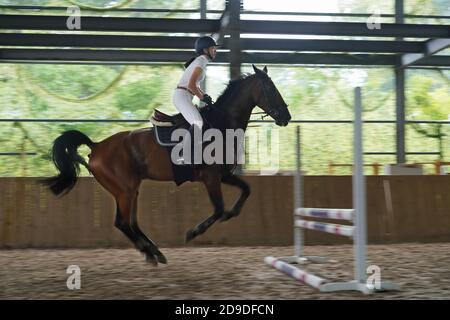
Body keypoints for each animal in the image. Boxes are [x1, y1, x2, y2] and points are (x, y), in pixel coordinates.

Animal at [41, 65, 292, 264]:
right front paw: (193, 232)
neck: (222, 125)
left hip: (130, 190)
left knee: (131, 223)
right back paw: (150, 252)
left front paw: (232, 214)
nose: (286, 117)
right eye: (270, 88)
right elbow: (219, 209)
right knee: (123, 223)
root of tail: (97, 146)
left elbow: (246, 190)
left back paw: (155, 251)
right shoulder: (211, 178)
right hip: (125, 190)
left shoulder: (223, 175)